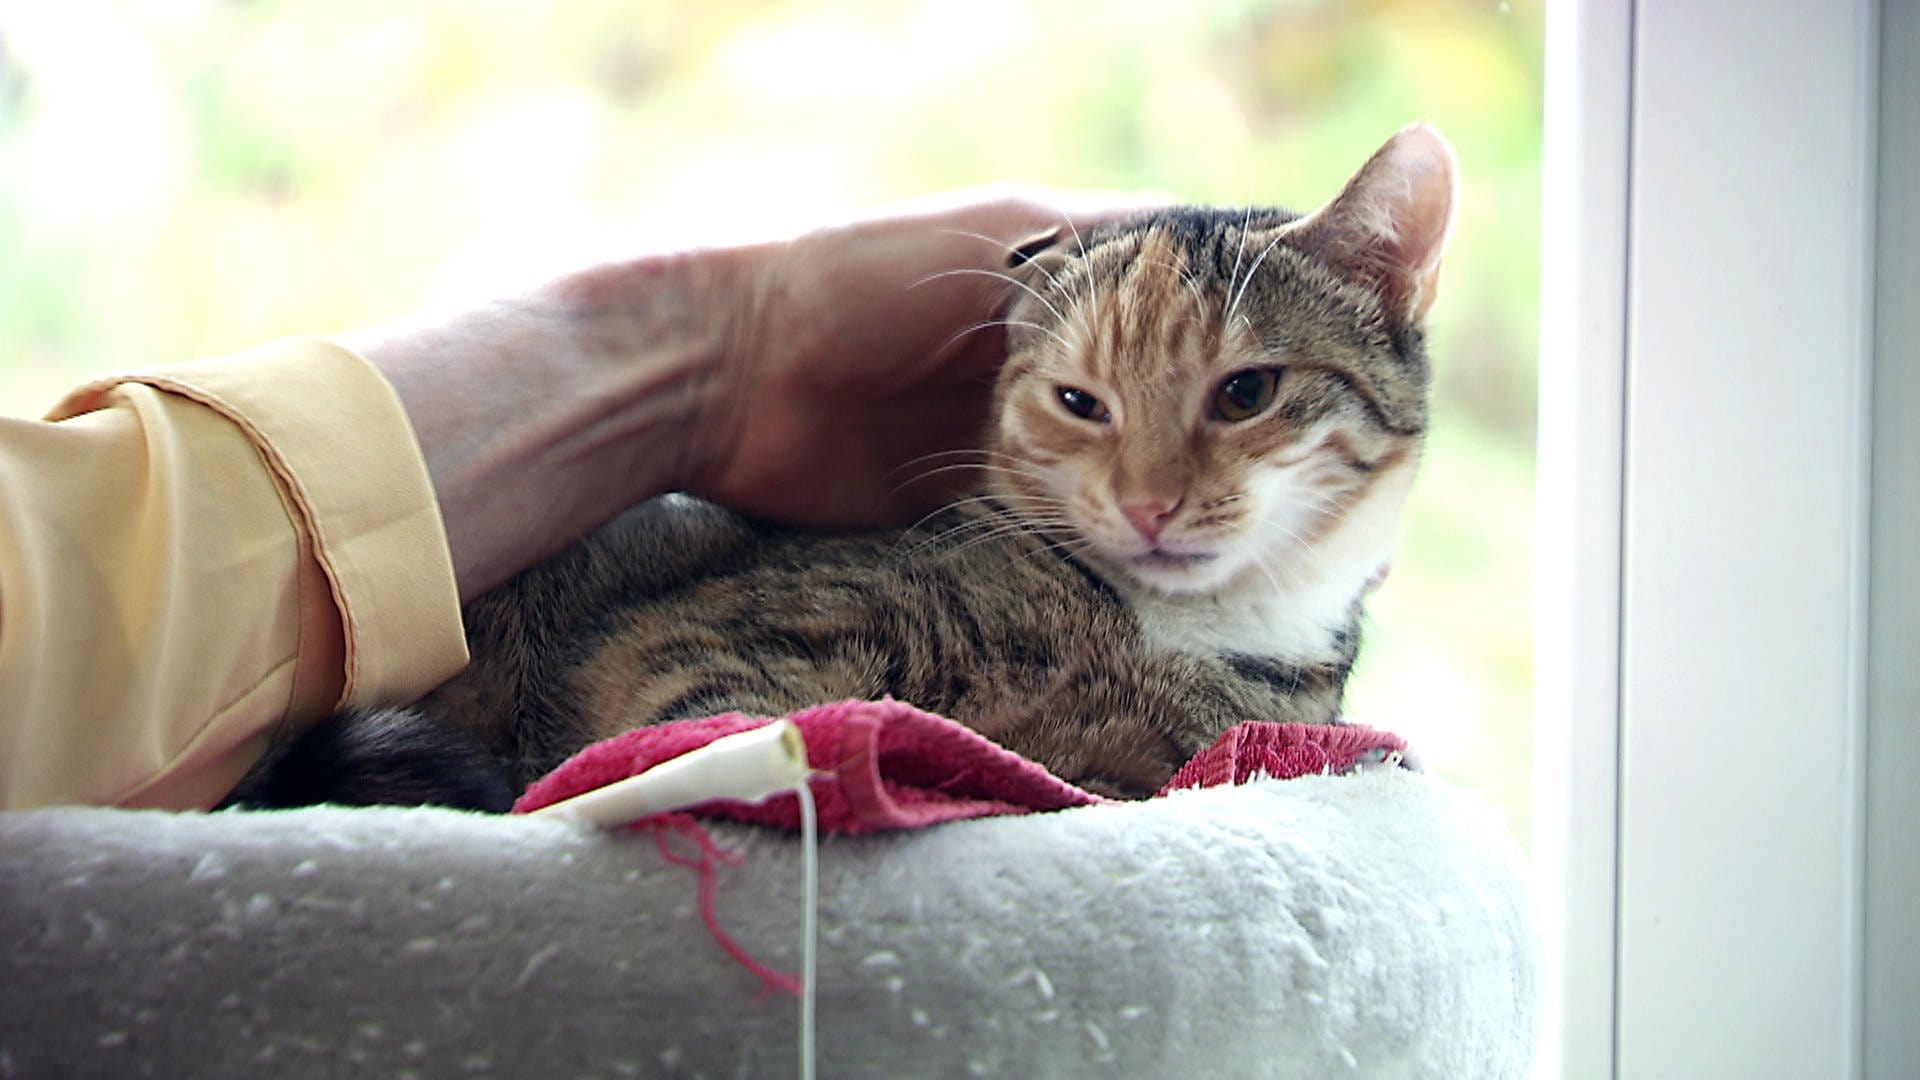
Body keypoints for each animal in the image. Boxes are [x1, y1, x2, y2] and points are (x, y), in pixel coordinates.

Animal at [224, 123, 1451, 807]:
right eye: (1080, 403)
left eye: (1246, 392)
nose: (1149, 504)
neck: (1169, 631)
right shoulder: (703, 635)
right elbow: (736, 717)